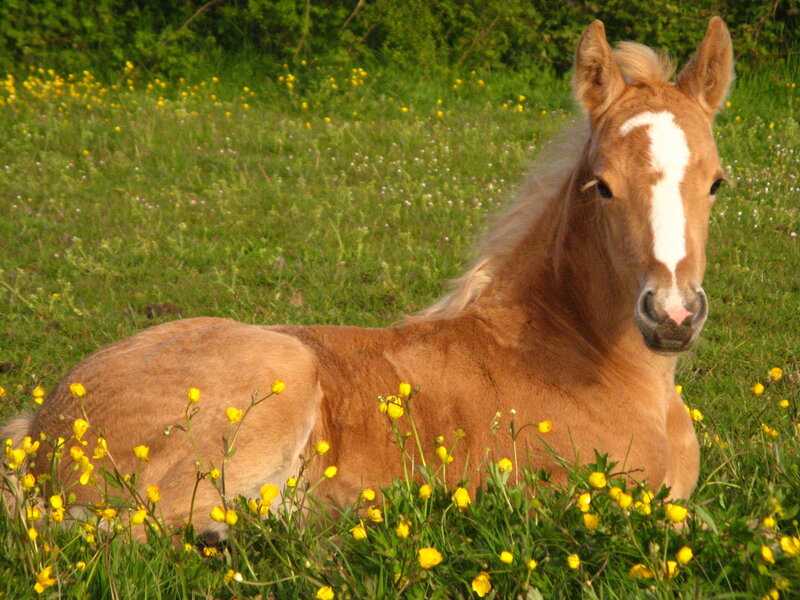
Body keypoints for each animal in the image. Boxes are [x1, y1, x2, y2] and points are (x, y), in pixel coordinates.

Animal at [2, 18, 733, 540]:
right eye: (602, 186)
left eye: (717, 182)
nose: (672, 316)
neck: (581, 354)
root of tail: (43, 427)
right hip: (278, 372)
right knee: (130, 522)